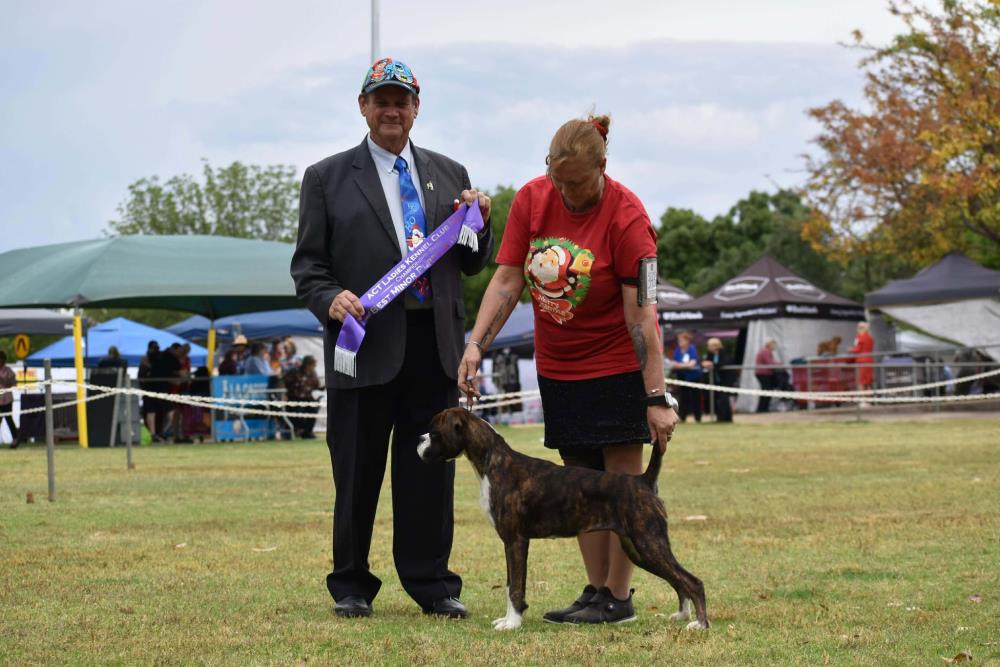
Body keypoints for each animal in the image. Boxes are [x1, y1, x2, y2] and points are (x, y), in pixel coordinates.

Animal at [417, 407, 709, 631]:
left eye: (435, 432)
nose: (419, 439)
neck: (493, 460)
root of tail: (642, 481)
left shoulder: (515, 541)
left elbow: (515, 586)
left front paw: (512, 623)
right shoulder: (512, 543)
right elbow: (512, 583)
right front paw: (508, 619)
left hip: (649, 542)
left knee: (692, 581)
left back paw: (699, 624)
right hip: (638, 548)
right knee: (678, 580)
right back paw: (682, 615)